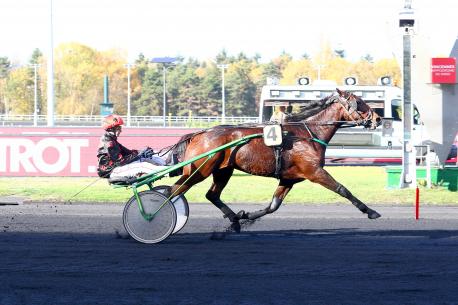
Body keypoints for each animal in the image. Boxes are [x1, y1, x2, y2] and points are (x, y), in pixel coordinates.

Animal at [168, 89, 382, 232]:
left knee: (211, 195)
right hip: (199, 170)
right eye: (360, 102)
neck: (307, 133)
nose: (378, 119)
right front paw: (371, 211)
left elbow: (273, 206)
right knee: (174, 191)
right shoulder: (315, 172)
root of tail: (198, 134)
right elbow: (343, 189)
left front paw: (245, 216)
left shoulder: (289, 178)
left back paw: (234, 221)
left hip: (223, 170)